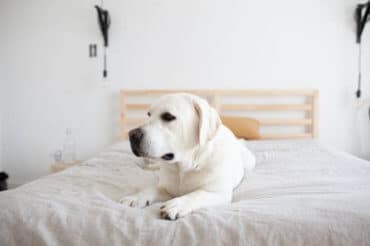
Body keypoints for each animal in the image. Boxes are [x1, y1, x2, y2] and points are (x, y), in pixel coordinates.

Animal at [120, 93, 256, 220]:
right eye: (148, 115)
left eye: (168, 116)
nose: (132, 134)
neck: (184, 167)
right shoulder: (166, 188)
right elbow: (151, 189)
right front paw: (135, 197)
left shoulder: (218, 193)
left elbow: (197, 195)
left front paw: (177, 204)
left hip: (249, 162)